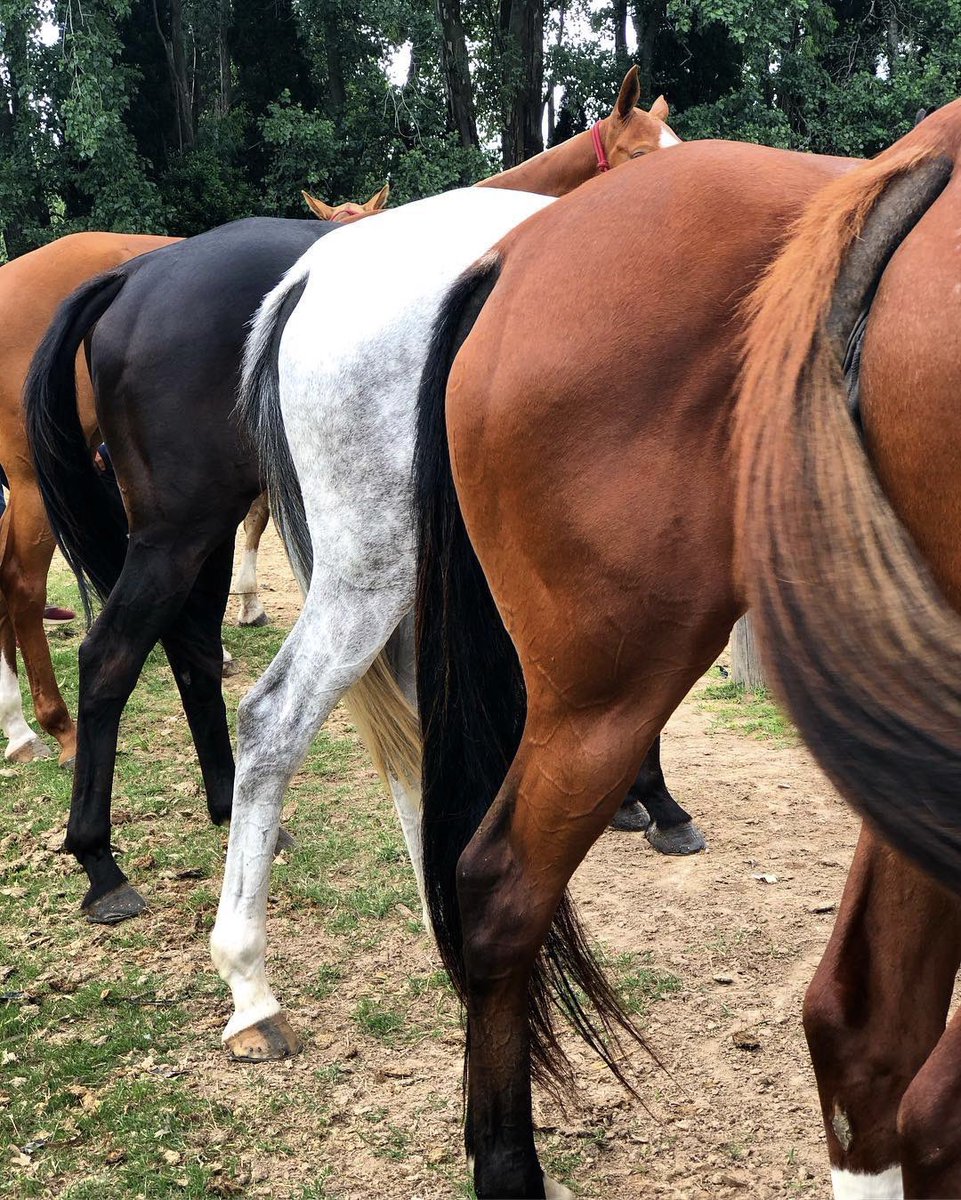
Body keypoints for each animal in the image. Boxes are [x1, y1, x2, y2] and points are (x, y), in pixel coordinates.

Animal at [24, 67, 683, 933]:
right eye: (637, 157)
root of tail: (137, 276)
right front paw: (652, 801)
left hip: (200, 528)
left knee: (190, 649)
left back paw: (229, 807)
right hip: (179, 529)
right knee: (112, 657)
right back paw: (101, 861)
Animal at [208, 74, 696, 1063]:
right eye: (634, 163)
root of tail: (313, 275)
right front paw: (654, 806)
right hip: (369, 579)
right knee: (274, 722)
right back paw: (251, 989)